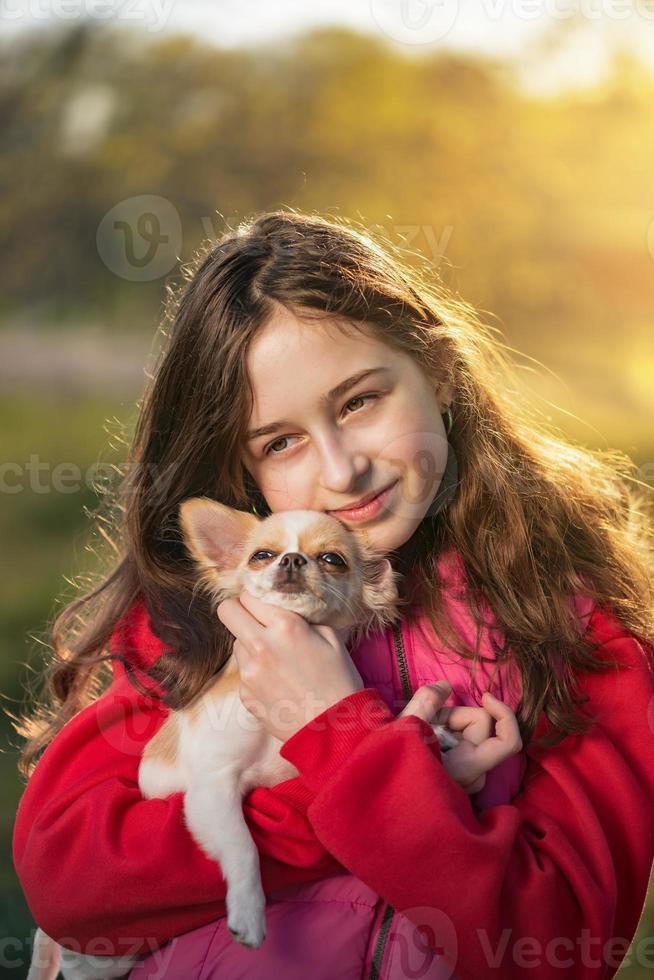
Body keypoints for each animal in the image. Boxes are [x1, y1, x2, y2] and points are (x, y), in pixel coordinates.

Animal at [29, 502, 462, 976]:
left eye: (333, 559)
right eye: (261, 556)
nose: (291, 560)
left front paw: (427, 727)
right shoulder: (213, 788)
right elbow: (242, 846)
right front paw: (249, 914)